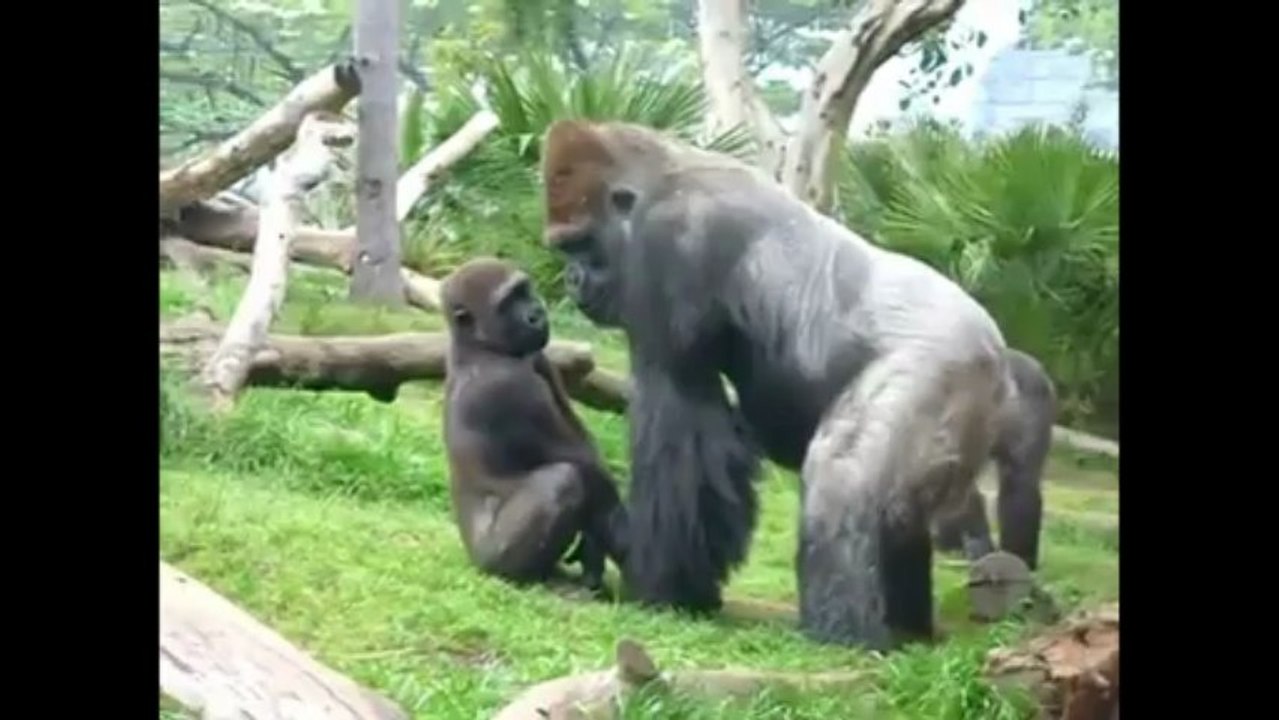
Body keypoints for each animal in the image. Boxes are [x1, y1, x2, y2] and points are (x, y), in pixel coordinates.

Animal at [440, 257, 629, 595]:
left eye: (525, 291)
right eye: (507, 303)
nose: (536, 313)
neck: (477, 346)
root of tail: (472, 557)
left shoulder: (539, 356)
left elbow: (589, 453)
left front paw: (593, 550)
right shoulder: (508, 386)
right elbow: (588, 469)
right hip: (491, 560)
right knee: (563, 479)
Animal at [539, 119, 1014, 650]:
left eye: (581, 244)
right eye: (564, 247)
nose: (572, 279)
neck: (657, 178)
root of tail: (999, 354)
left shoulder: (669, 246)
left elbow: (682, 414)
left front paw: (661, 586)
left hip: (944, 364)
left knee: (841, 480)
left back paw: (842, 635)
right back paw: (906, 626)